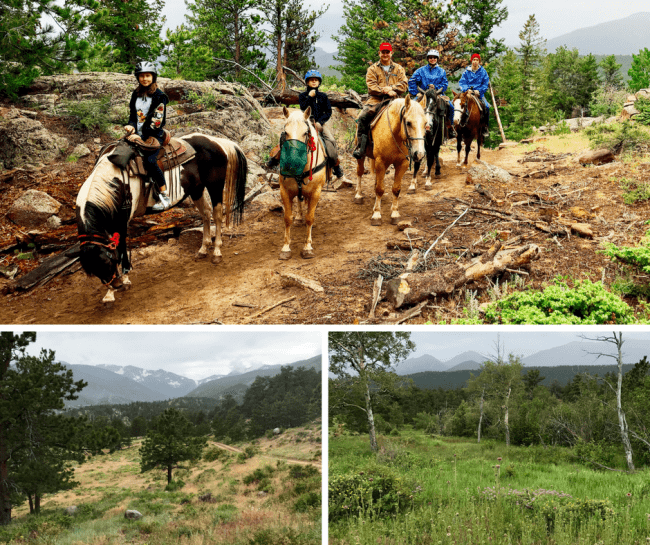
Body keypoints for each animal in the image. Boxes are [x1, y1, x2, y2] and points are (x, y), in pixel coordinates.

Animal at [76, 131, 247, 302]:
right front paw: (109, 294)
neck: (115, 183)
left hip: (215, 186)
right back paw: (203, 250)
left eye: (108, 261)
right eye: (94, 270)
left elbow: (122, 249)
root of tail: (217, 141)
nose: (116, 285)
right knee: (205, 213)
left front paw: (124, 281)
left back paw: (217, 251)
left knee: (217, 215)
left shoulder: (122, 222)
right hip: (196, 189)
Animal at [278, 107, 326, 260]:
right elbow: (287, 218)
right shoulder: (284, 191)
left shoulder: (316, 191)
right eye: (285, 132)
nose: (293, 161)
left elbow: (310, 218)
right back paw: (299, 217)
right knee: (299, 201)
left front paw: (307, 247)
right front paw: (285, 248)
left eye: (305, 133)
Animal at [354, 96, 426, 225]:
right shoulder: (381, 162)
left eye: (426, 123)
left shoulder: (402, 164)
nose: (420, 154)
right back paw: (358, 195)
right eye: (408, 123)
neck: (395, 135)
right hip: (361, 157)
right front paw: (377, 215)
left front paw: (395, 213)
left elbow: (396, 189)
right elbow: (380, 189)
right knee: (360, 172)